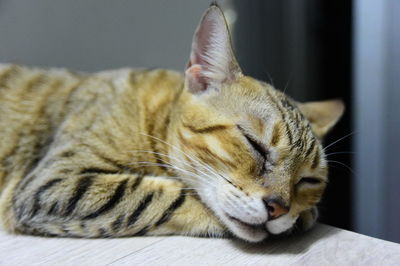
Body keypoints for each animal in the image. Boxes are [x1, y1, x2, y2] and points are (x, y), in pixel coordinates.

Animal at [0, 2, 344, 243]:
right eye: (253, 145)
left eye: (309, 180)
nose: (279, 208)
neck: (152, 115)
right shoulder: (53, 183)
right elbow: (164, 194)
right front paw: (302, 217)